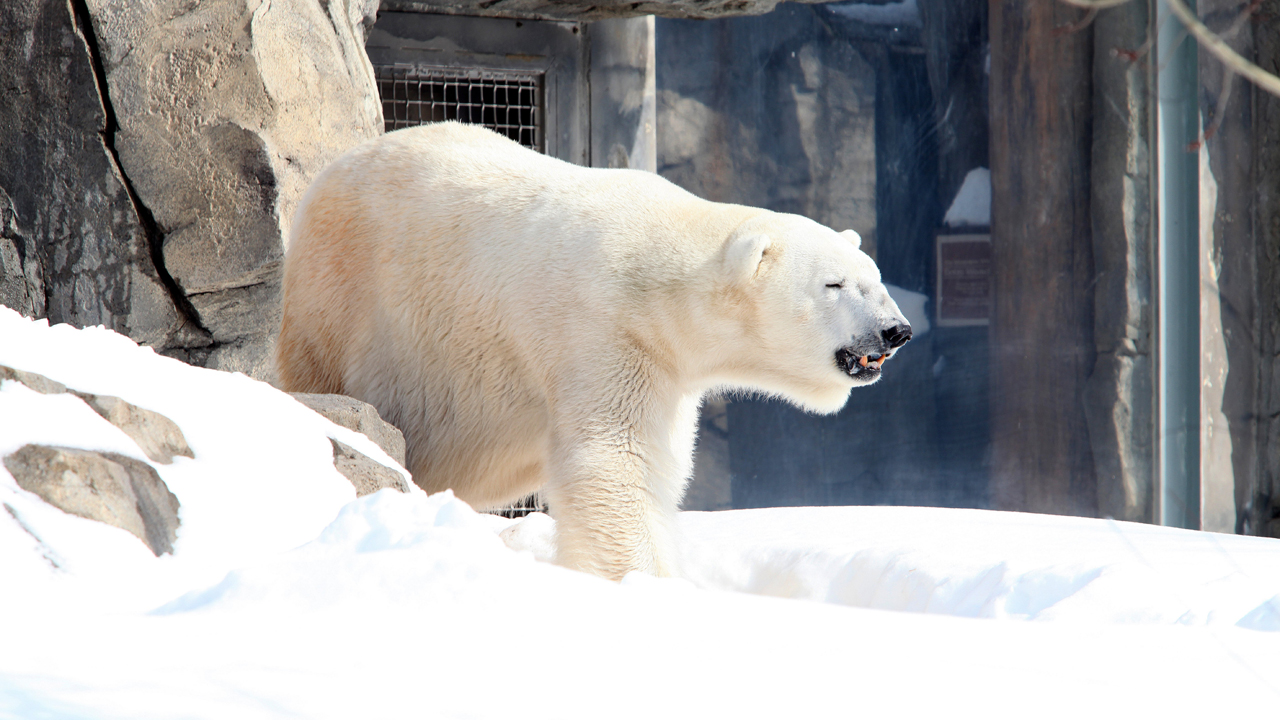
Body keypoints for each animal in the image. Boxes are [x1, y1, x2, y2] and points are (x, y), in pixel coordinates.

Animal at [282, 121, 911, 576]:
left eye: (875, 278)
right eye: (834, 284)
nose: (895, 330)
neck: (658, 276)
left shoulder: (665, 367)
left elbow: (656, 467)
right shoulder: (601, 331)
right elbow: (616, 461)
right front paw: (642, 582)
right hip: (340, 293)